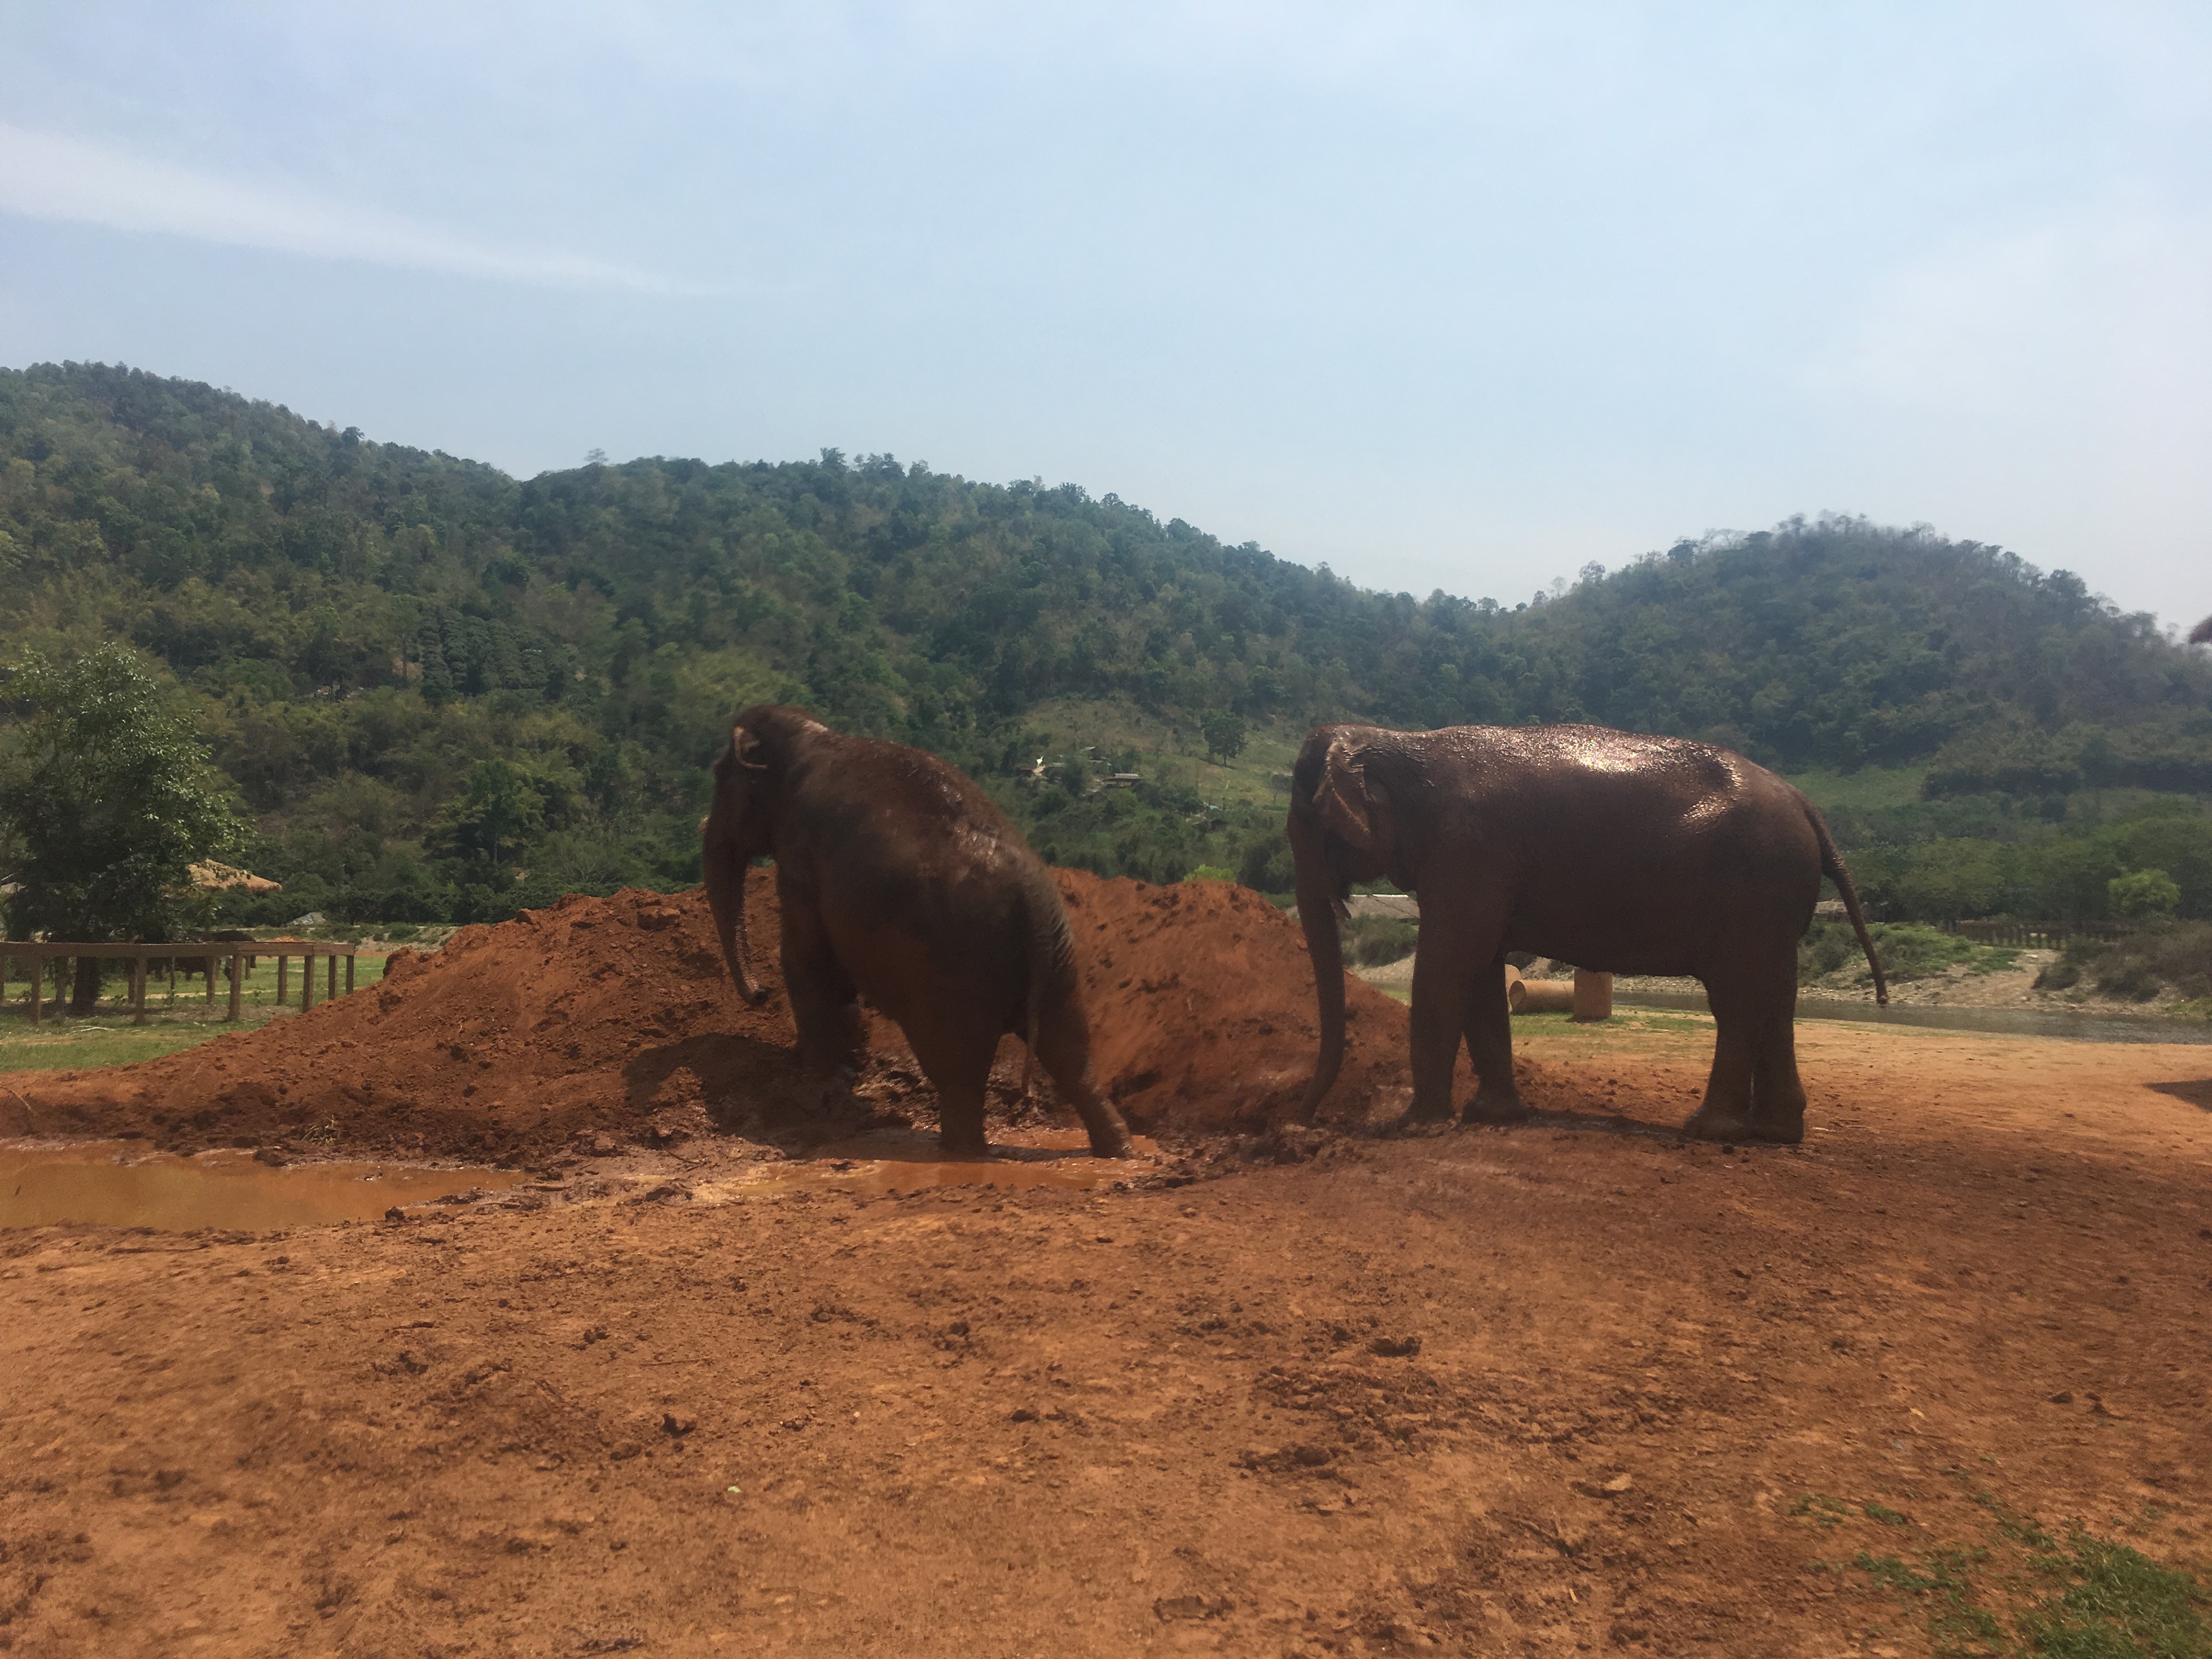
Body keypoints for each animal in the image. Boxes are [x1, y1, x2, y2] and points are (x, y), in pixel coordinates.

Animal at [700, 704, 1134, 1159]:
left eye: (719, 774)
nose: (760, 994)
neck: (812, 735)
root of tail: (1031, 896)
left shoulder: (800, 852)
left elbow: (806, 957)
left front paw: (809, 1081)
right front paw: (846, 1063)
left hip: (959, 972)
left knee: (958, 1073)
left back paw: (959, 1153)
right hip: (1056, 959)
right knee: (1072, 1055)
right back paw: (1117, 1150)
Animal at [1287, 721, 1887, 1144]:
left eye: (1308, 820)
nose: (1302, 1118)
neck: (1401, 740)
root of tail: (1806, 806)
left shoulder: (1468, 852)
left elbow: (1448, 962)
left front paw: (1415, 1127)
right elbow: (1481, 971)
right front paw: (1491, 1117)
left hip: (1752, 890)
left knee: (1739, 1000)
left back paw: (1709, 1130)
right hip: (1774, 903)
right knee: (1776, 998)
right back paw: (1775, 1134)